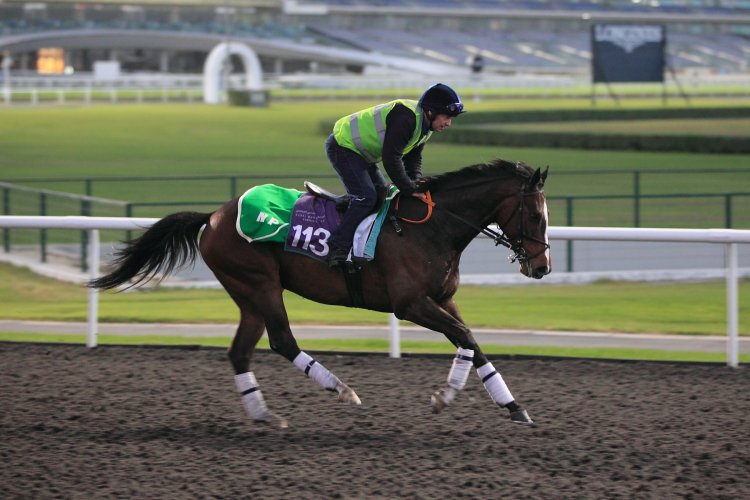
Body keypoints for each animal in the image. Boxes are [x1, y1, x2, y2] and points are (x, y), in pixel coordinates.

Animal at [92, 158, 552, 428]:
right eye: (534, 214)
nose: (542, 266)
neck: (430, 227)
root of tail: (213, 216)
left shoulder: (442, 299)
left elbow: (471, 342)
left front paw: (511, 406)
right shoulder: (411, 304)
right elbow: (465, 338)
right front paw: (447, 396)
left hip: (247, 293)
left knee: (241, 351)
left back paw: (265, 414)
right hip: (260, 283)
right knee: (282, 340)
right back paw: (342, 390)